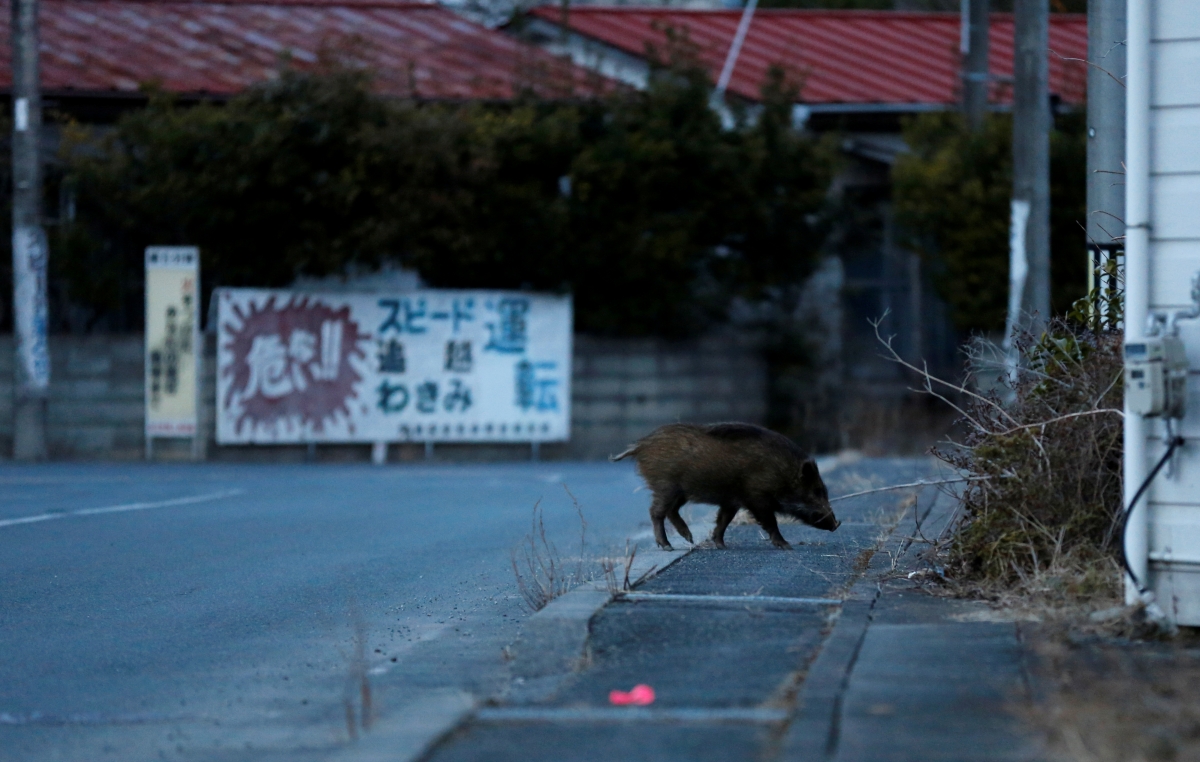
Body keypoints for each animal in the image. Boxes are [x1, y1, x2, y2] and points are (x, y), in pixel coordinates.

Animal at [611, 422, 839, 550]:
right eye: (816, 491)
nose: (836, 524)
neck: (782, 473)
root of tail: (640, 445)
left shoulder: (732, 500)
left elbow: (723, 520)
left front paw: (721, 545)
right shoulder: (757, 498)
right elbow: (770, 522)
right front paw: (787, 546)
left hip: (679, 491)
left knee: (671, 511)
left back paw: (689, 538)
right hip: (666, 486)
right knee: (656, 512)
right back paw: (667, 547)